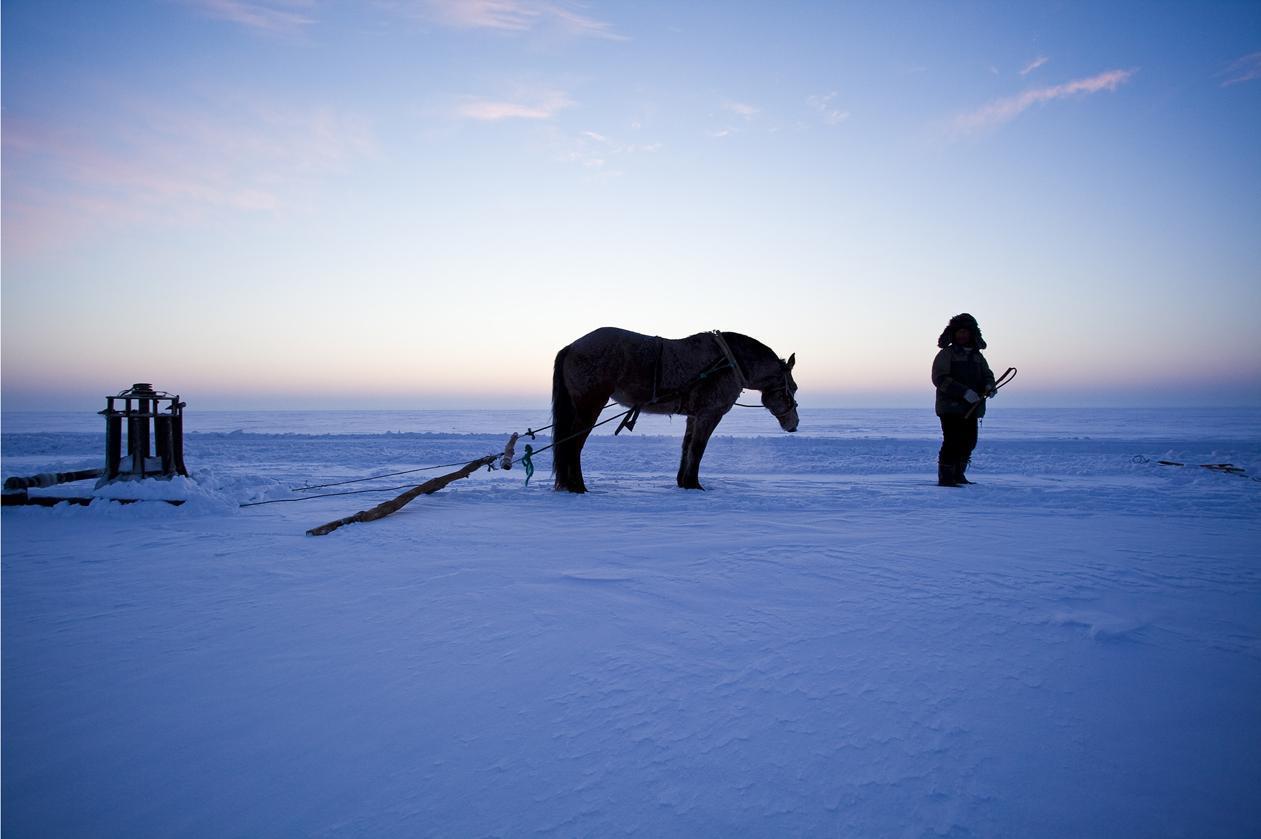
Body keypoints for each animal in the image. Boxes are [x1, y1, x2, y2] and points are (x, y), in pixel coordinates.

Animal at [552, 328, 796, 492]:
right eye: (792, 388)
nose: (794, 424)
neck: (729, 363)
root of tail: (572, 346)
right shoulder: (709, 415)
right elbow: (698, 449)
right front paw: (694, 484)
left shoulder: (693, 416)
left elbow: (686, 448)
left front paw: (683, 482)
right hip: (590, 406)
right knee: (572, 445)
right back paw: (577, 486)